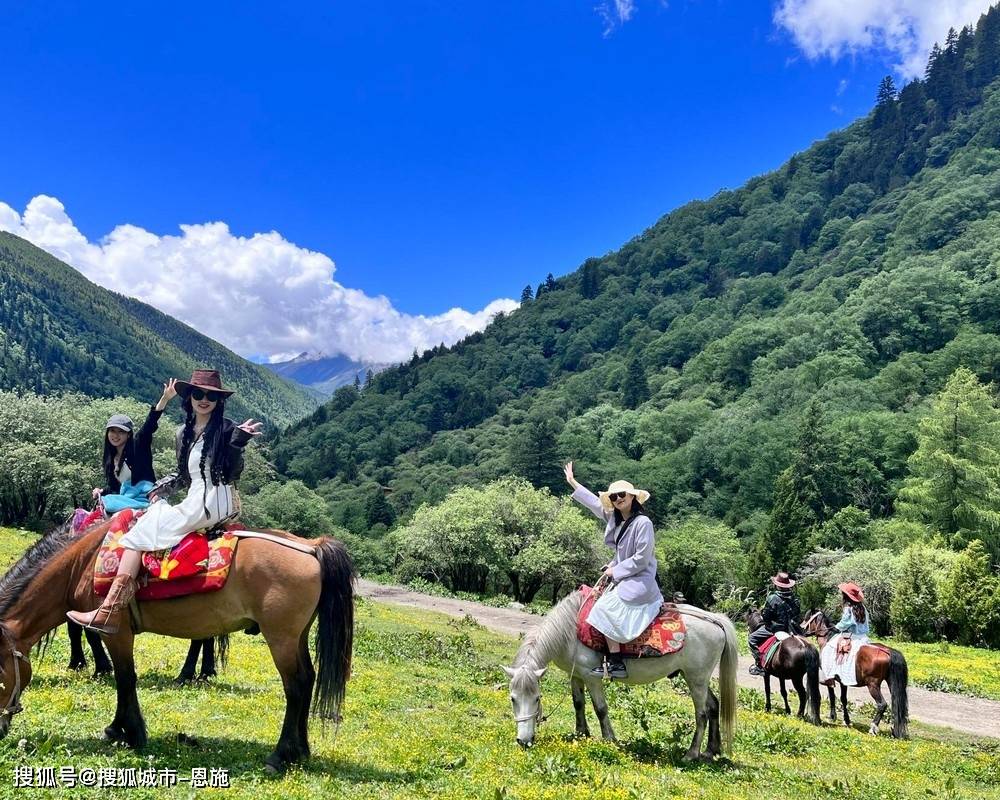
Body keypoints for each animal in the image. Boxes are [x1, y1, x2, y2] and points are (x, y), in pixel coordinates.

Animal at [0, 516, 356, 772]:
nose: (1, 730)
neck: (84, 564)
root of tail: (312, 547)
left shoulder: (116, 632)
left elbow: (125, 679)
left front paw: (130, 732)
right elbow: (124, 680)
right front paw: (122, 729)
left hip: (280, 637)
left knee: (295, 687)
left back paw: (281, 755)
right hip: (296, 636)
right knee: (308, 680)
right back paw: (302, 750)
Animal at [504, 592, 740, 760]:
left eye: (537, 699)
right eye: (513, 699)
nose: (523, 741)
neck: (570, 631)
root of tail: (715, 620)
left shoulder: (592, 677)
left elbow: (600, 709)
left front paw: (609, 739)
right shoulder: (576, 675)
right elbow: (578, 704)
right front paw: (582, 734)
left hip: (696, 679)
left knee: (701, 713)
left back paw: (691, 754)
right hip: (696, 678)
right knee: (713, 706)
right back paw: (711, 751)